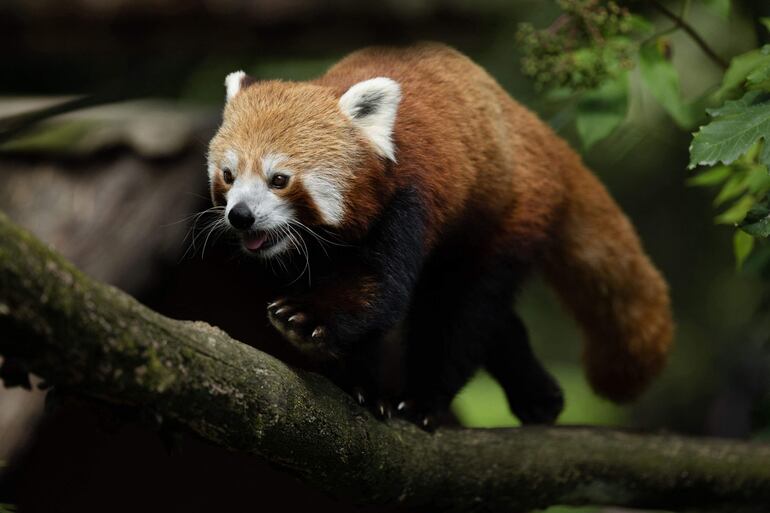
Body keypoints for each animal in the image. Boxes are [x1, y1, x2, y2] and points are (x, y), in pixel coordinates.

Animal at [207, 43, 668, 428]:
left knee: (462, 308)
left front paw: (304, 318)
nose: (241, 216)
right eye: (229, 175)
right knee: (490, 319)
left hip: (504, 215)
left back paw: (425, 401)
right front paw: (358, 386)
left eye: (279, 179)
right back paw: (538, 396)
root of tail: (532, 128)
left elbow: (379, 290)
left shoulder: (409, 200)